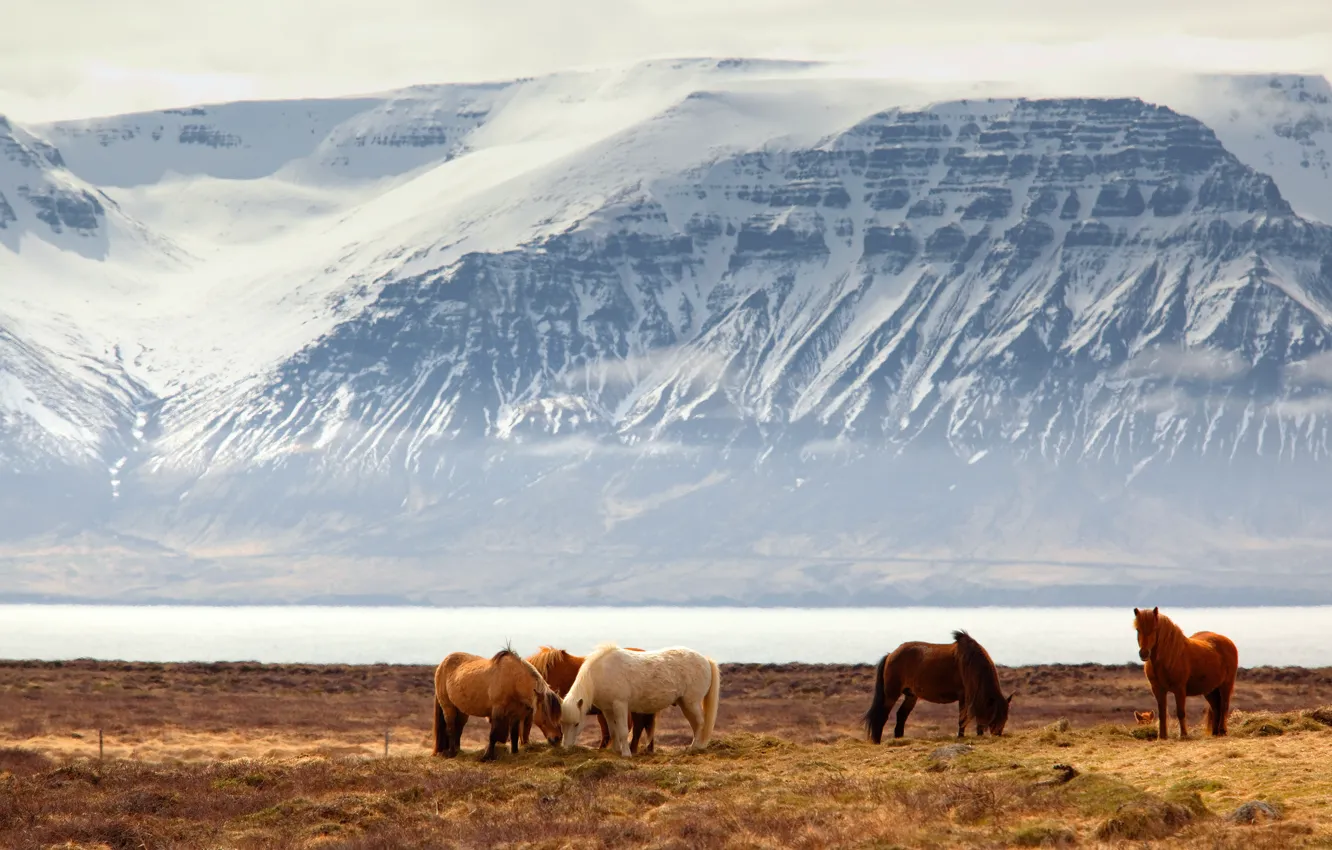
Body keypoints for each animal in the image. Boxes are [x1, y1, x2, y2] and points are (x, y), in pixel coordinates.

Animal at [432, 648, 563, 761]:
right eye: (546, 713)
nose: (557, 738)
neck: (513, 681)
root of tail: (442, 664)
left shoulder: (515, 714)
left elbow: (514, 734)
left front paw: (514, 753)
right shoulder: (497, 710)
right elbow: (493, 734)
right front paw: (486, 757)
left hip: (461, 711)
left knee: (458, 728)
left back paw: (458, 751)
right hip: (448, 707)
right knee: (451, 728)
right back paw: (452, 753)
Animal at [560, 643, 720, 757]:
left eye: (576, 724)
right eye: (562, 724)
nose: (566, 748)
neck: (601, 672)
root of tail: (706, 660)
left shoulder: (620, 705)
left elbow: (623, 731)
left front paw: (626, 754)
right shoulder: (607, 710)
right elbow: (613, 731)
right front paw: (615, 751)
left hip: (692, 703)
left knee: (700, 723)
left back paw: (694, 748)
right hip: (685, 704)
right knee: (695, 725)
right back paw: (695, 747)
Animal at [863, 630, 1014, 742]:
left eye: (1006, 717)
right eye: (997, 715)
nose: (998, 734)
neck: (972, 663)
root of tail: (891, 655)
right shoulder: (964, 696)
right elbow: (962, 718)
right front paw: (961, 736)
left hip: (911, 695)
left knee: (901, 715)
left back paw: (899, 738)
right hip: (891, 694)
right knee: (882, 715)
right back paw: (877, 741)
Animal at [1132, 606, 1238, 740]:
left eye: (1154, 629)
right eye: (1138, 629)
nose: (1144, 653)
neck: (1169, 656)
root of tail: (1229, 642)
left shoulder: (1180, 689)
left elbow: (1180, 712)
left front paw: (1183, 735)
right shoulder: (1158, 689)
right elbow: (1162, 713)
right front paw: (1162, 736)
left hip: (1226, 685)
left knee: (1224, 706)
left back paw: (1223, 731)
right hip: (1210, 690)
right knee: (1216, 708)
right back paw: (1215, 733)